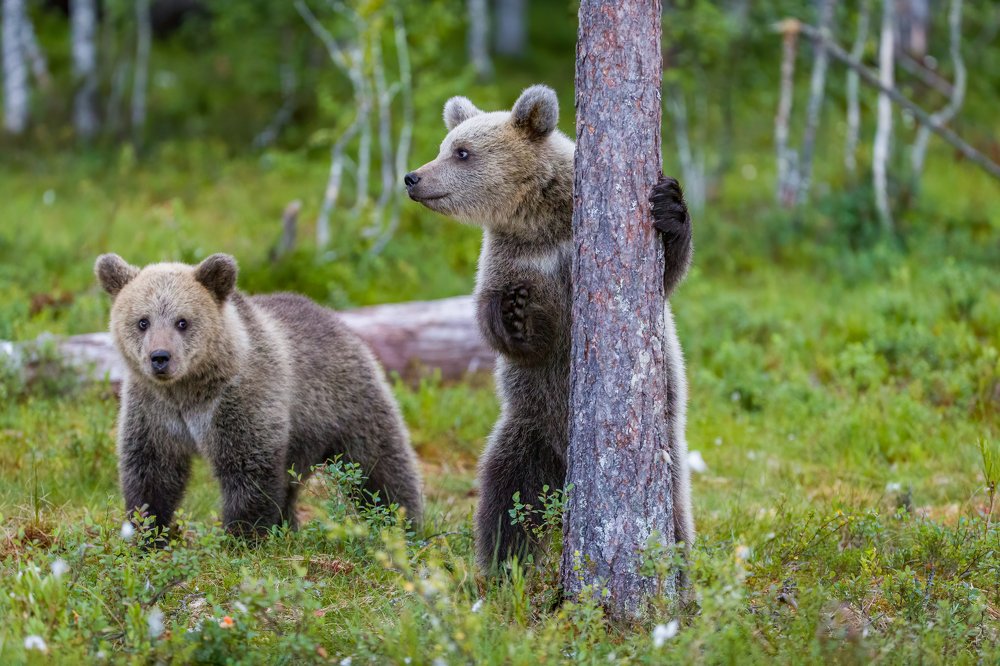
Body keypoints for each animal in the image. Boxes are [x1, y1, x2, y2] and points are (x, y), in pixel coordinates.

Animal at [95, 253, 424, 540]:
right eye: (143, 321)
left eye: (182, 321)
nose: (160, 357)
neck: (189, 390)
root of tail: (335, 319)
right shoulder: (154, 409)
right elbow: (151, 473)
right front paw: (147, 532)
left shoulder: (241, 399)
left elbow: (249, 471)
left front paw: (242, 537)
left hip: (345, 404)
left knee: (381, 466)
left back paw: (403, 525)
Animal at [404, 84, 694, 571]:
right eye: (445, 146)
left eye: (462, 152)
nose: (413, 177)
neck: (539, 221)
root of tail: (564, 466)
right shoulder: (510, 261)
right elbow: (509, 327)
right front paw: (515, 312)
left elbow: (667, 275)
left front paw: (671, 207)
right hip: (527, 428)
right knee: (506, 498)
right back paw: (502, 567)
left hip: (663, 450)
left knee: (674, 516)